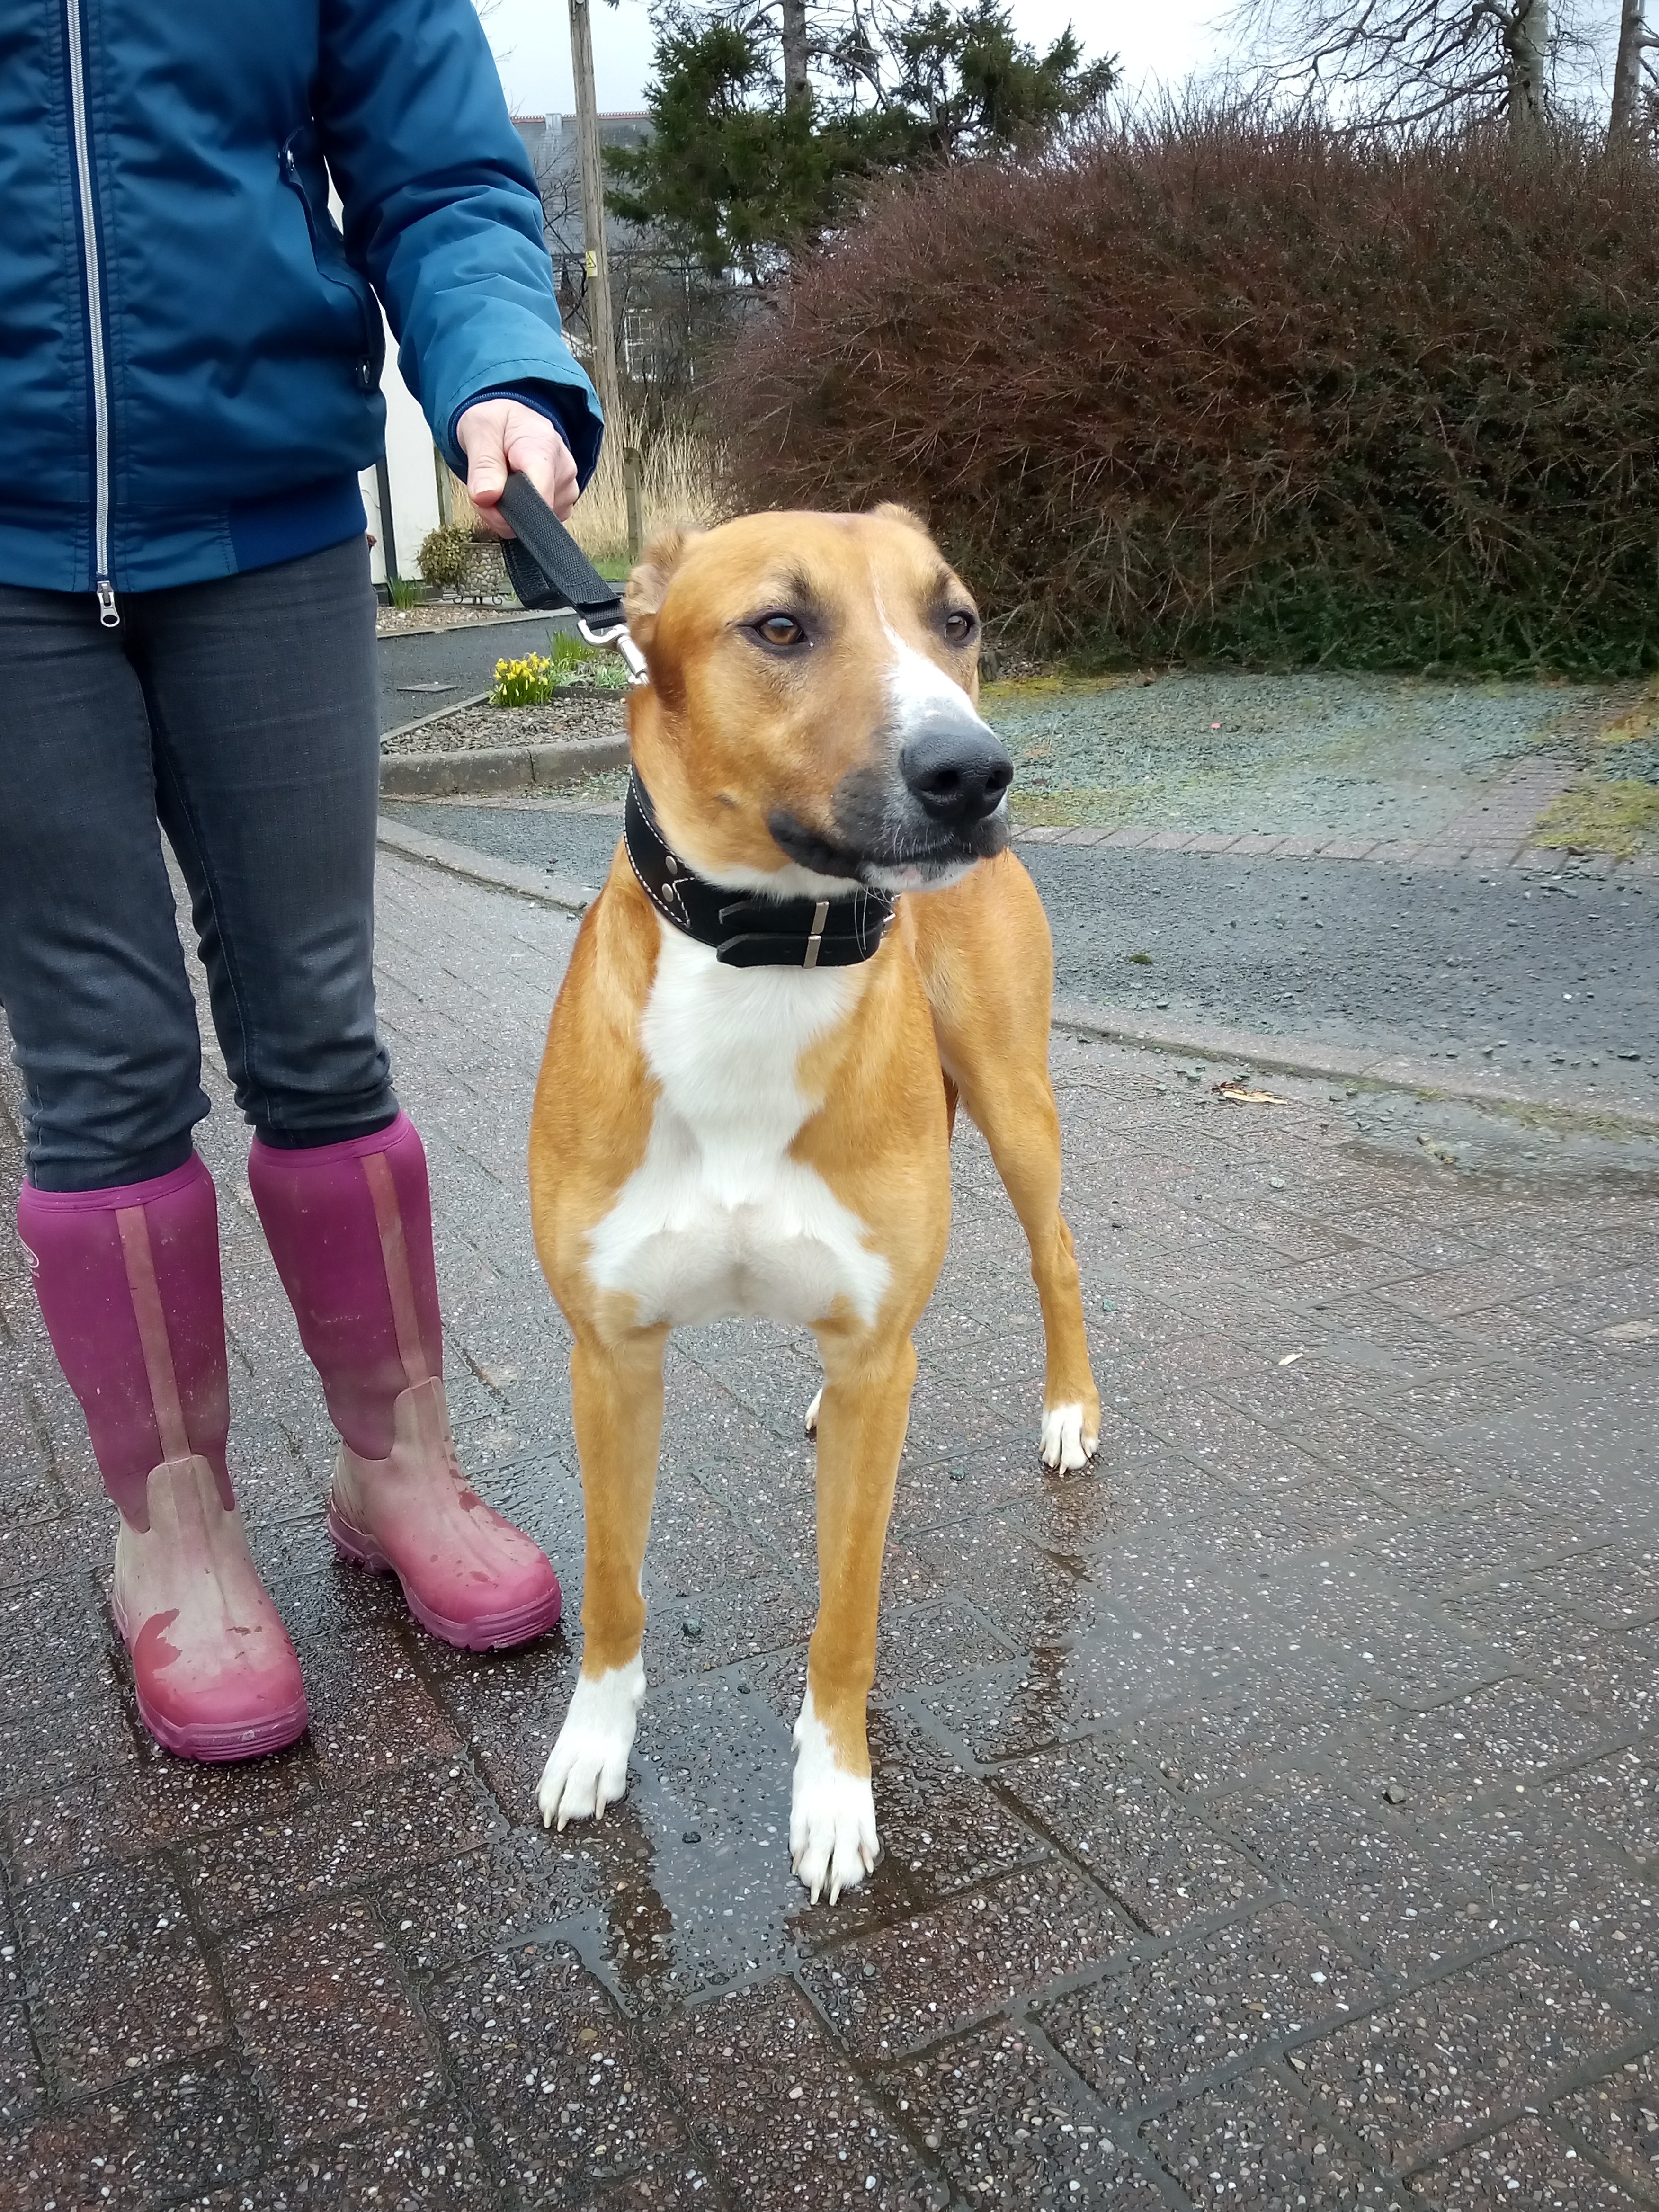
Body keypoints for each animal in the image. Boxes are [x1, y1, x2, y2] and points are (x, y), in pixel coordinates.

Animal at [533, 502, 1106, 1902]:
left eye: (956, 619)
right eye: (780, 627)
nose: (973, 772)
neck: (764, 962)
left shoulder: (868, 1369)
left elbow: (846, 1617)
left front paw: (836, 1791)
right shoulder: (610, 1358)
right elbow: (613, 1584)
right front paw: (593, 1740)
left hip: (1013, 1104)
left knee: (1055, 1258)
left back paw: (1070, 1409)